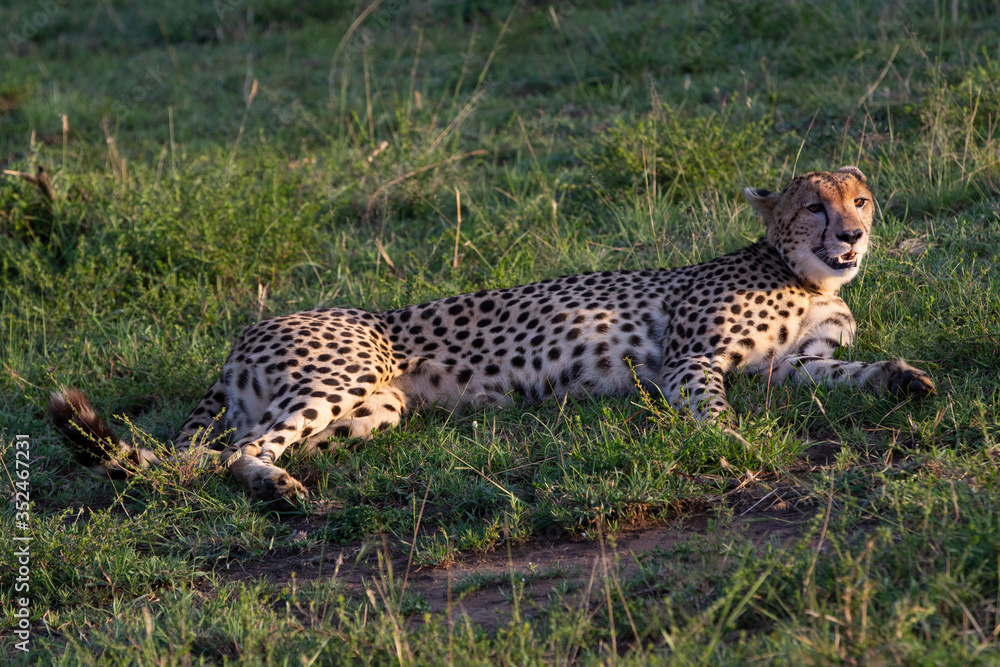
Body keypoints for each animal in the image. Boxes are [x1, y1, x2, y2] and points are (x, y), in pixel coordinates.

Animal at [51, 166, 936, 507]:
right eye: (815, 206)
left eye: (860, 198)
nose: (854, 233)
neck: (807, 277)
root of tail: (250, 326)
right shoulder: (692, 360)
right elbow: (714, 409)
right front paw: (734, 447)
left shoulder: (788, 370)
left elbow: (845, 372)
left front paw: (904, 378)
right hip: (339, 377)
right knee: (228, 451)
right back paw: (276, 487)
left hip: (377, 409)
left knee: (225, 451)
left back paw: (280, 482)